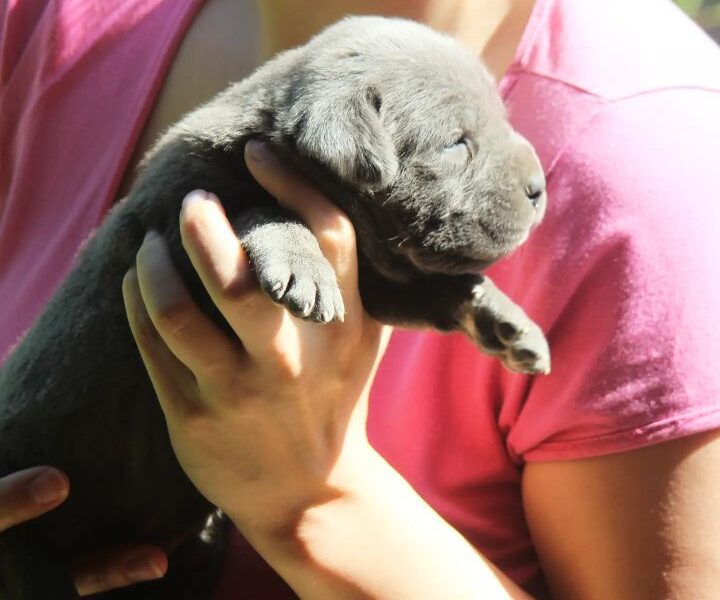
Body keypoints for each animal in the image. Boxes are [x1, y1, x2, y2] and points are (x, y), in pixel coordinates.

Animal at [0, 16, 548, 596]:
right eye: (455, 145)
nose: (540, 188)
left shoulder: (378, 285)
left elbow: (439, 288)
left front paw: (505, 320)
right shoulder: (167, 234)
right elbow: (258, 208)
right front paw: (301, 264)